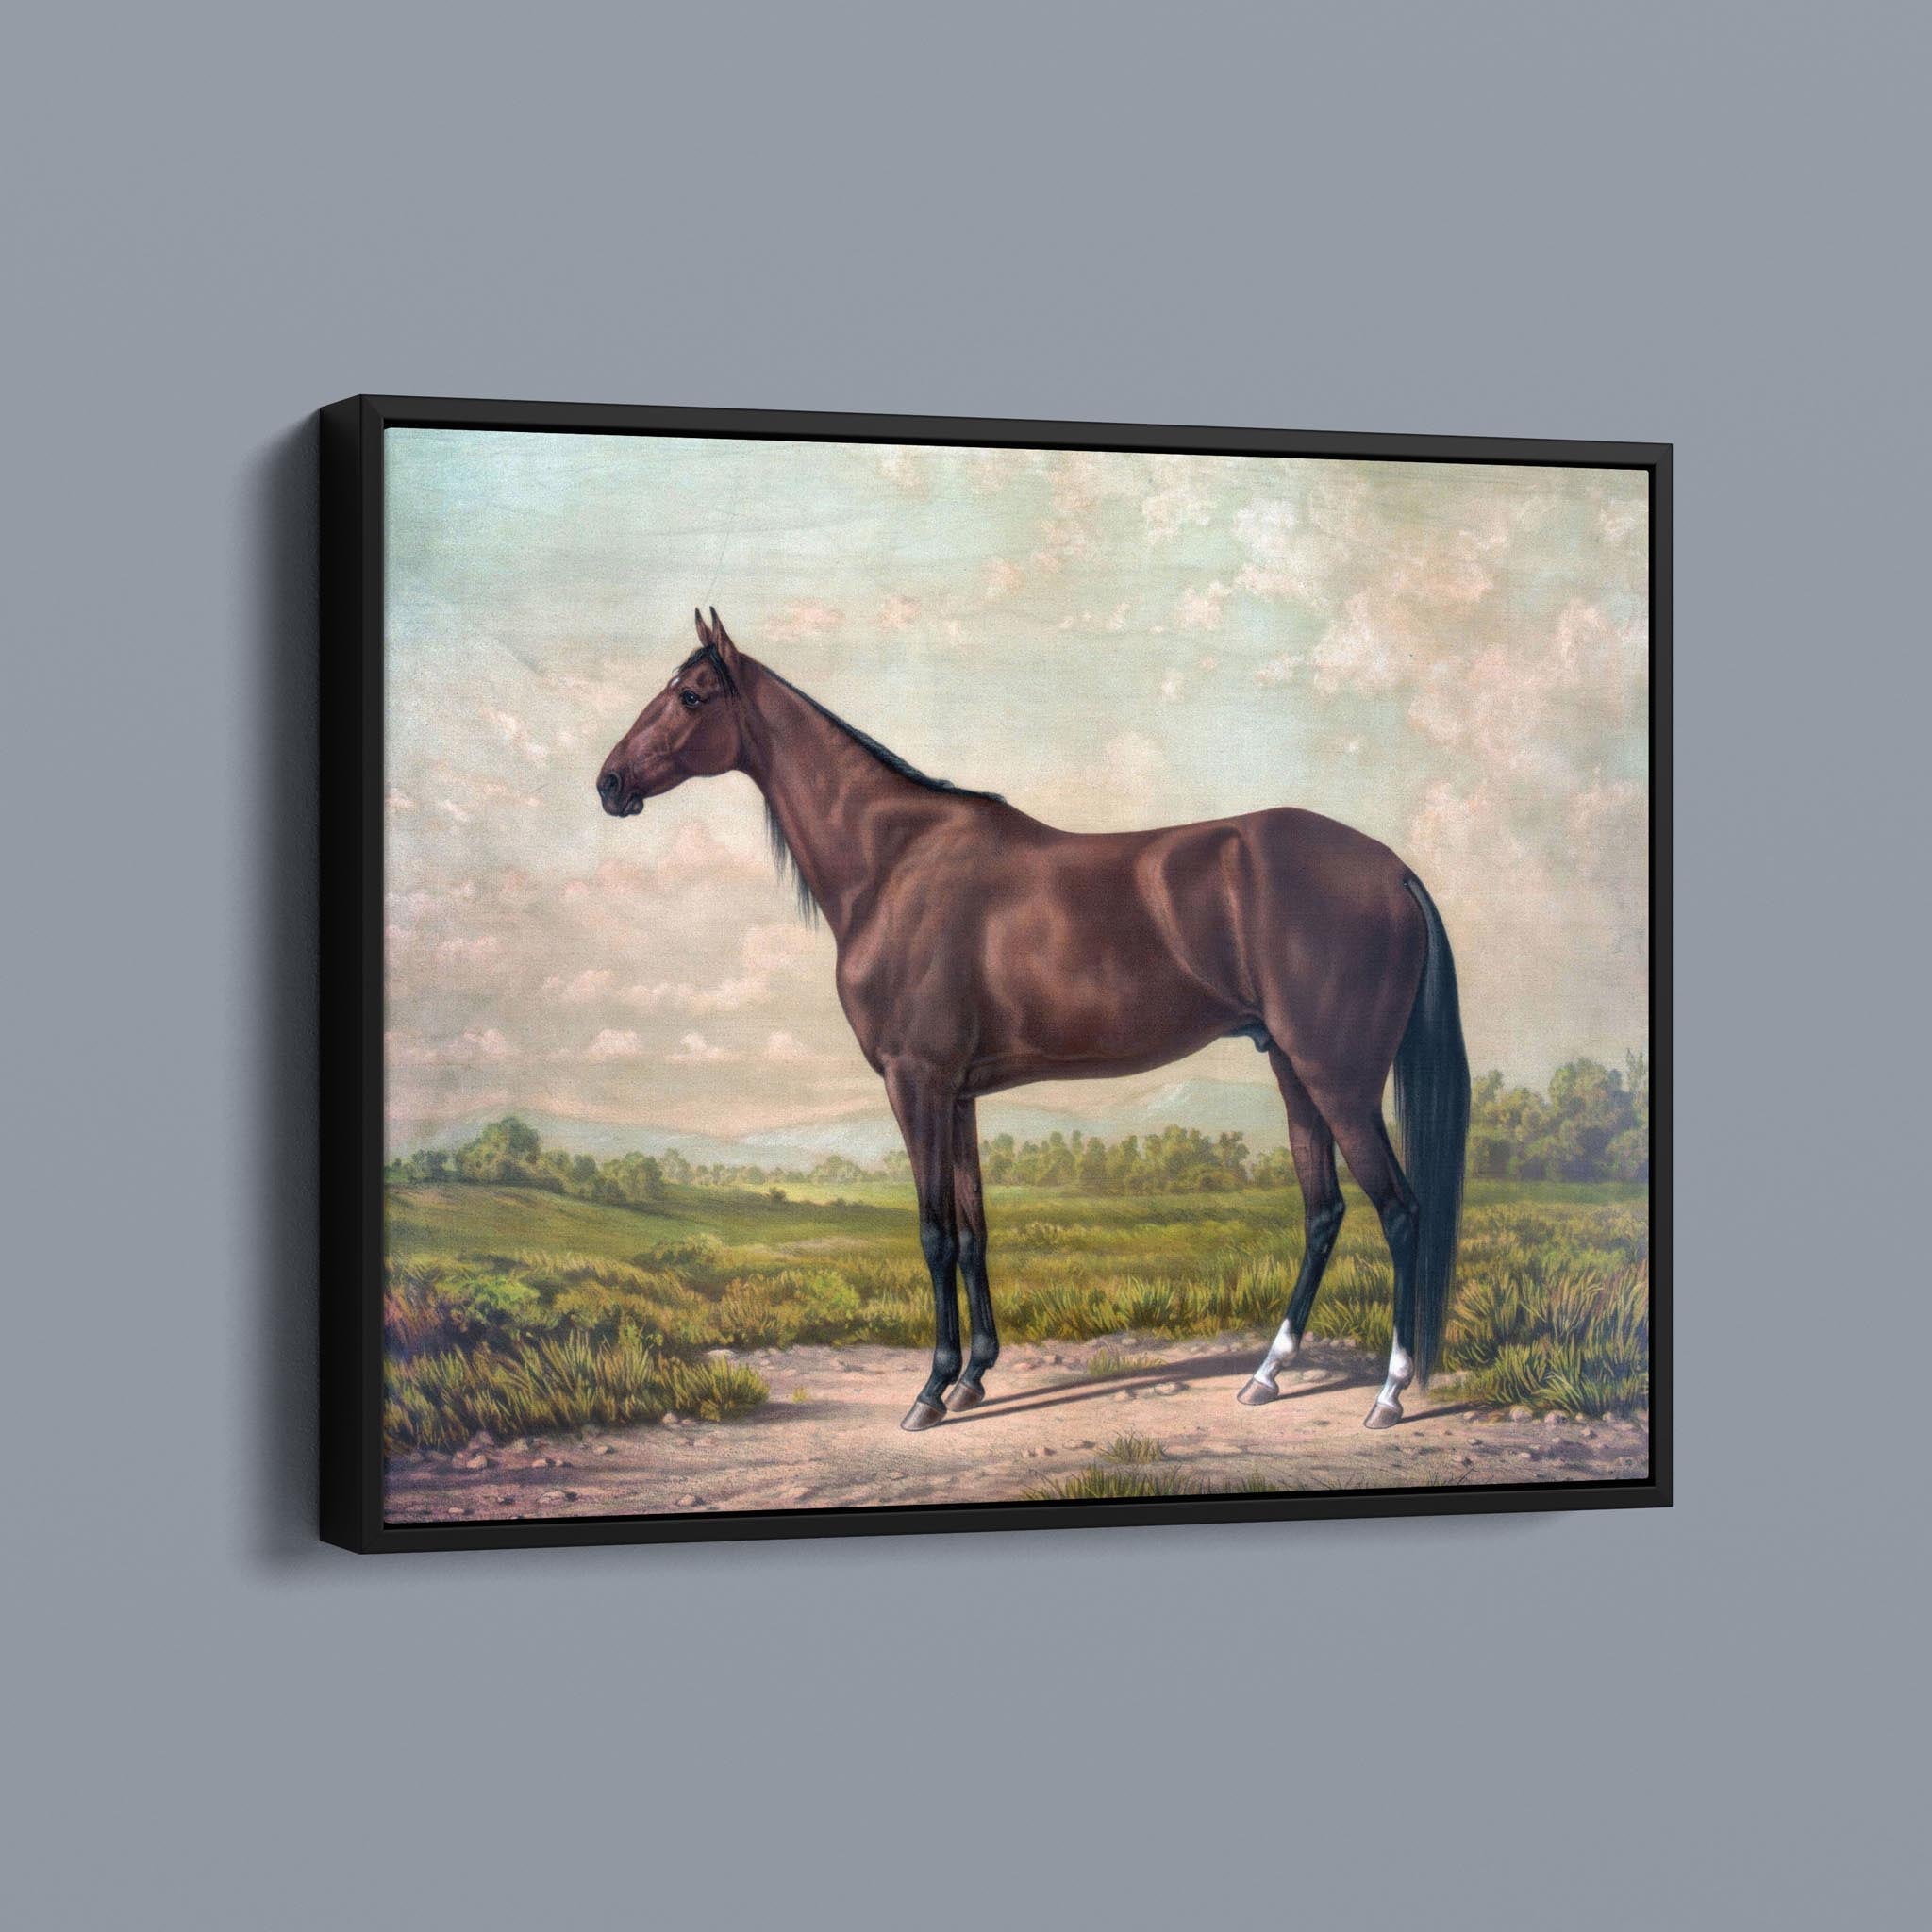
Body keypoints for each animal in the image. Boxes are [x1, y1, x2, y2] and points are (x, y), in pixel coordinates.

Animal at [598, 609, 1470, 1435]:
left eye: (691, 696)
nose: (609, 783)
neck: (894, 864)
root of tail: (1392, 868)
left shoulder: (915, 1085)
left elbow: (934, 1233)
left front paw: (930, 1392)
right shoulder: (958, 1096)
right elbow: (974, 1230)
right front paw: (974, 1375)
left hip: (1339, 1080)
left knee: (1399, 1211)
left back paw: (1389, 1393)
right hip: (1293, 1071)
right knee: (1324, 1213)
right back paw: (1266, 1375)